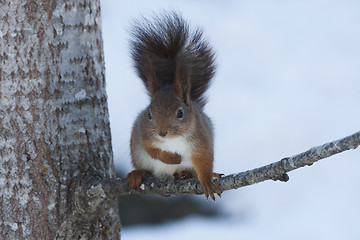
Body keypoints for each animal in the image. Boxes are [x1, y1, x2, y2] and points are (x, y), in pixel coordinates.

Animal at [126, 12, 222, 201]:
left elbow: (204, 160)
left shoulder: (201, 138)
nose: (162, 132)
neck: (172, 140)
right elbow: (152, 150)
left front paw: (207, 180)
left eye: (180, 113)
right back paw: (138, 173)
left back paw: (185, 173)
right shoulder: (144, 133)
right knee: (147, 169)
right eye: (149, 114)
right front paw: (171, 159)